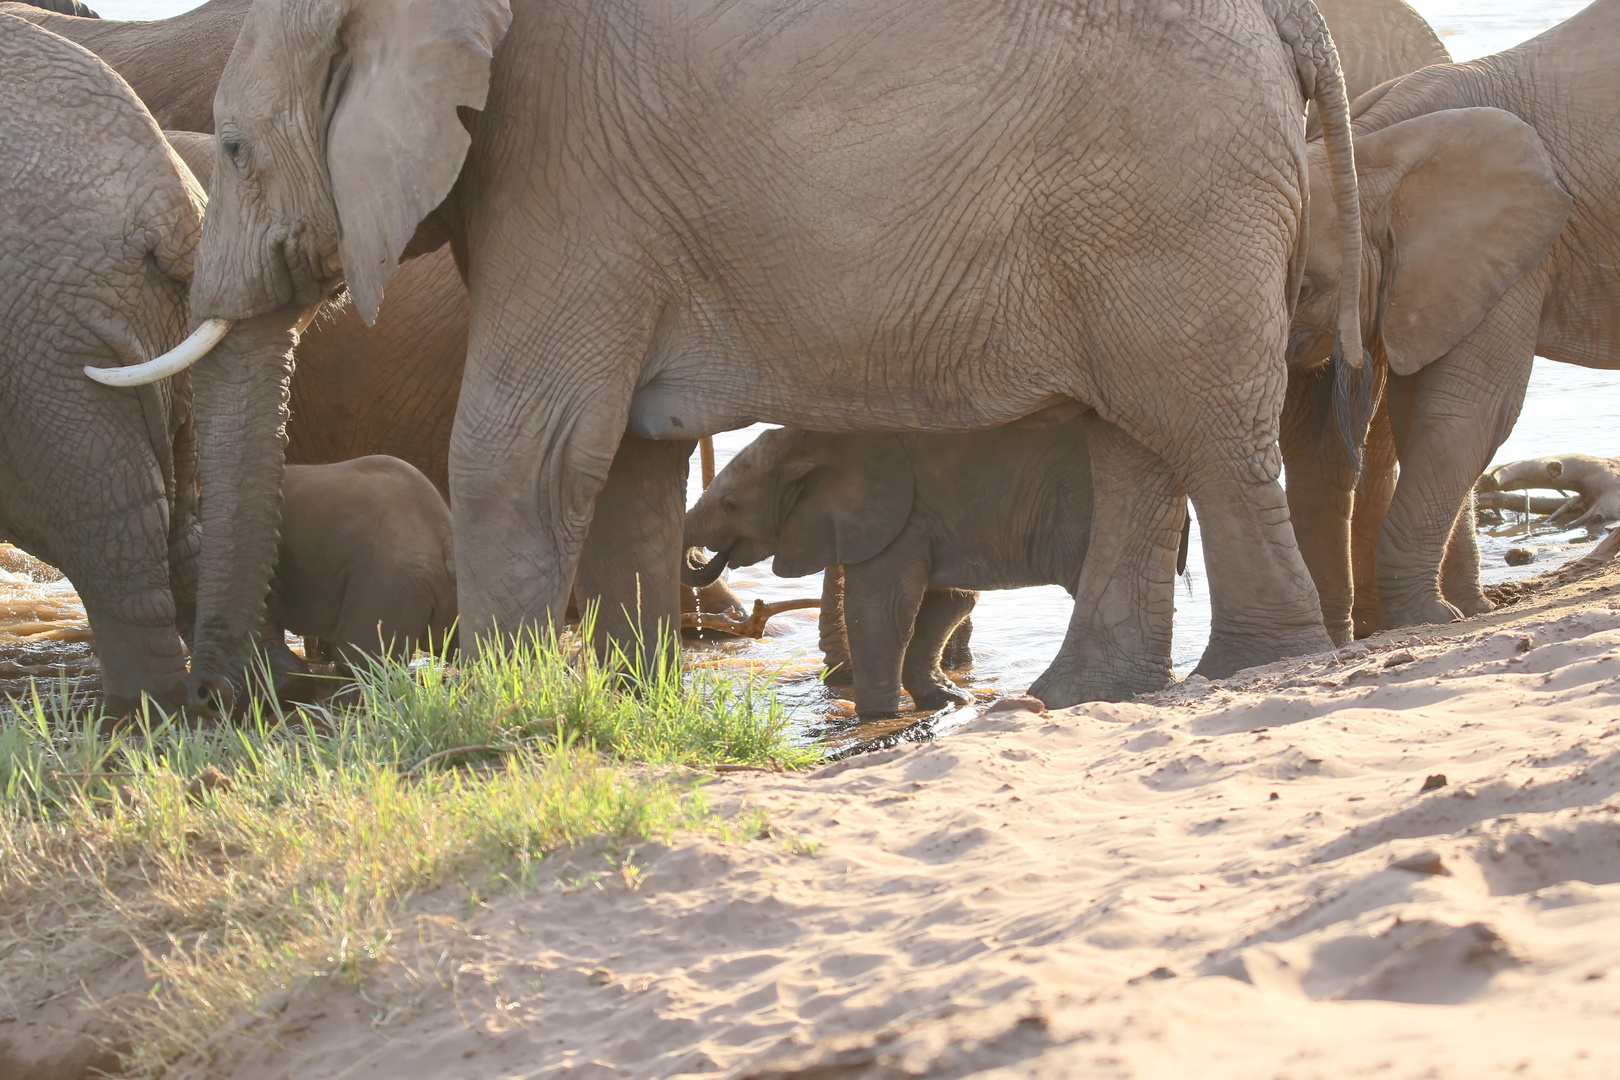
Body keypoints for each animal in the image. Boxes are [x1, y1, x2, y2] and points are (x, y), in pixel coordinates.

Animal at [0, 14, 291, 718]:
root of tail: (170, 205)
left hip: (45, 342)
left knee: (110, 517)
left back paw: (143, 711)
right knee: (180, 520)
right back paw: (251, 690)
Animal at [683, 420, 1192, 718]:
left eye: (731, 505)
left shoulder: (895, 515)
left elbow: (881, 612)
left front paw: (879, 716)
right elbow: (948, 602)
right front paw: (948, 700)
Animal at [1276, 0, 1607, 634]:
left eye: (1305, 287)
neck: (1378, 148)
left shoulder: (1516, 254)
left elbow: (1467, 411)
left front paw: (1430, 617)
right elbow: (1418, 417)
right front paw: (1464, 609)